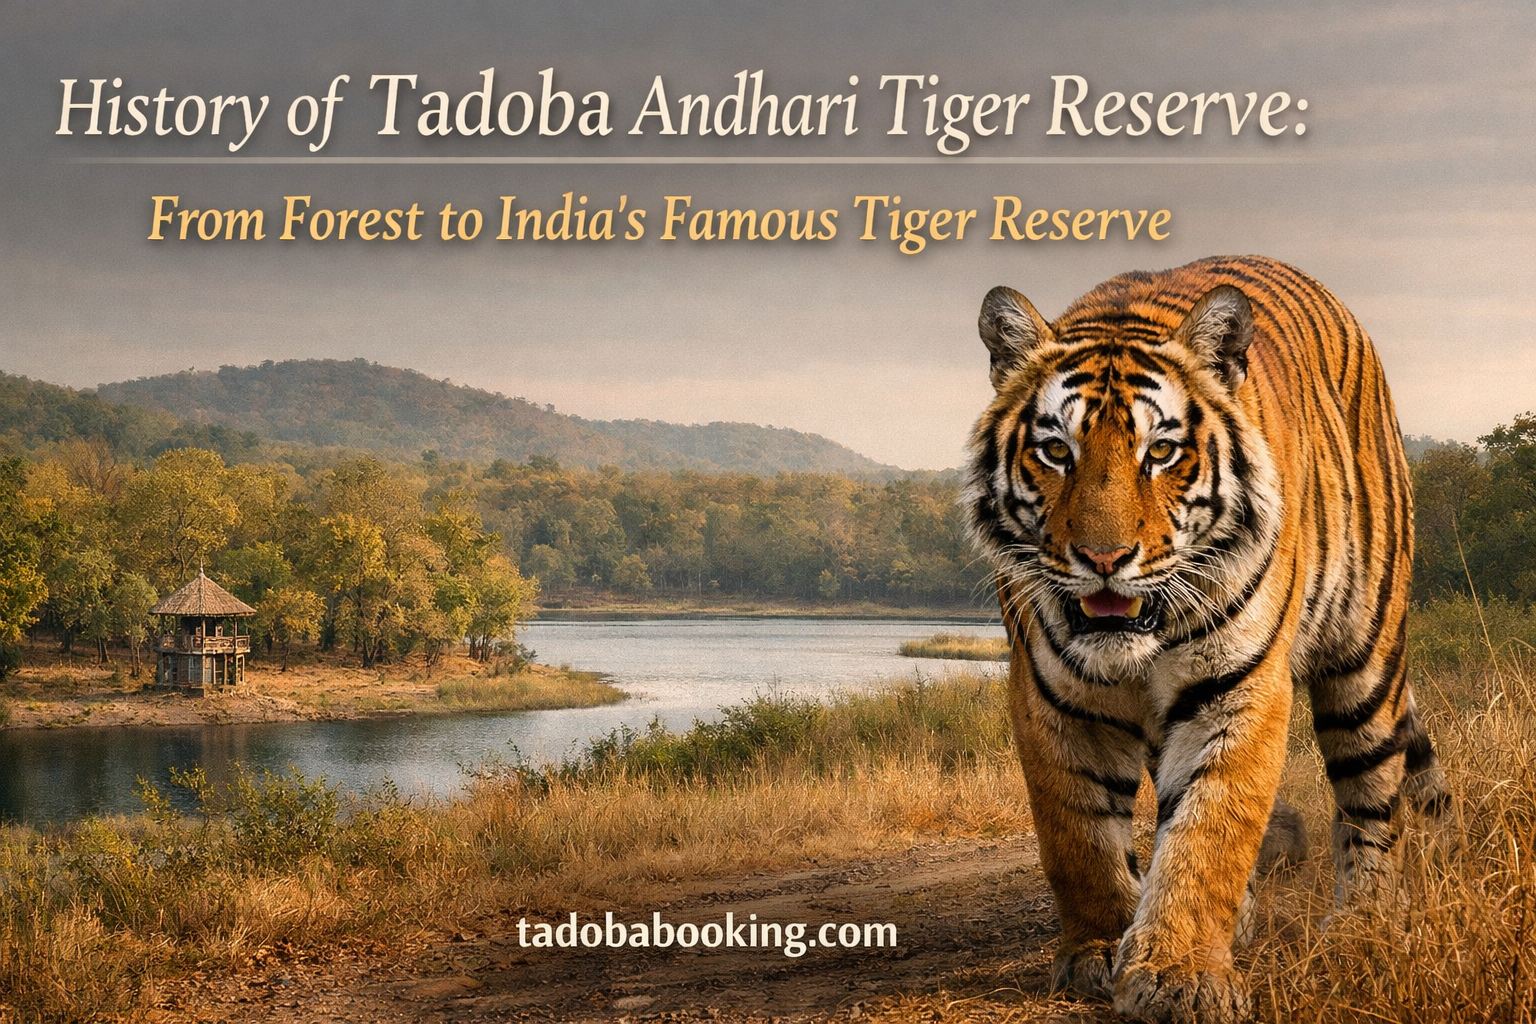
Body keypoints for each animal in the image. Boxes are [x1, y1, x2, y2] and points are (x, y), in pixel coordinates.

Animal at [962, 256, 1448, 1022]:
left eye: (1160, 452)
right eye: (1056, 451)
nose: (1104, 558)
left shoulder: (1239, 685)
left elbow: (1210, 829)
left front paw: (1180, 974)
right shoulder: (1053, 697)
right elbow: (1079, 835)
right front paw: (1101, 947)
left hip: (1366, 662)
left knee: (1372, 797)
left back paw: (1364, 921)